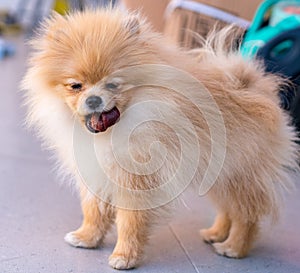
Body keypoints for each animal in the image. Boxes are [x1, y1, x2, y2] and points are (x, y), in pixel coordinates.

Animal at [22, 7, 298, 268]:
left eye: (113, 85)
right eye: (75, 86)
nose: (93, 99)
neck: (114, 131)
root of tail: (254, 86)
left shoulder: (136, 183)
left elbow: (129, 222)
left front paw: (124, 257)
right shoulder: (97, 174)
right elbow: (93, 211)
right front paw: (86, 238)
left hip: (239, 176)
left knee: (246, 214)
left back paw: (234, 247)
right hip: (220, 176)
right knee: (228, 209)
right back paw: (216, 233)